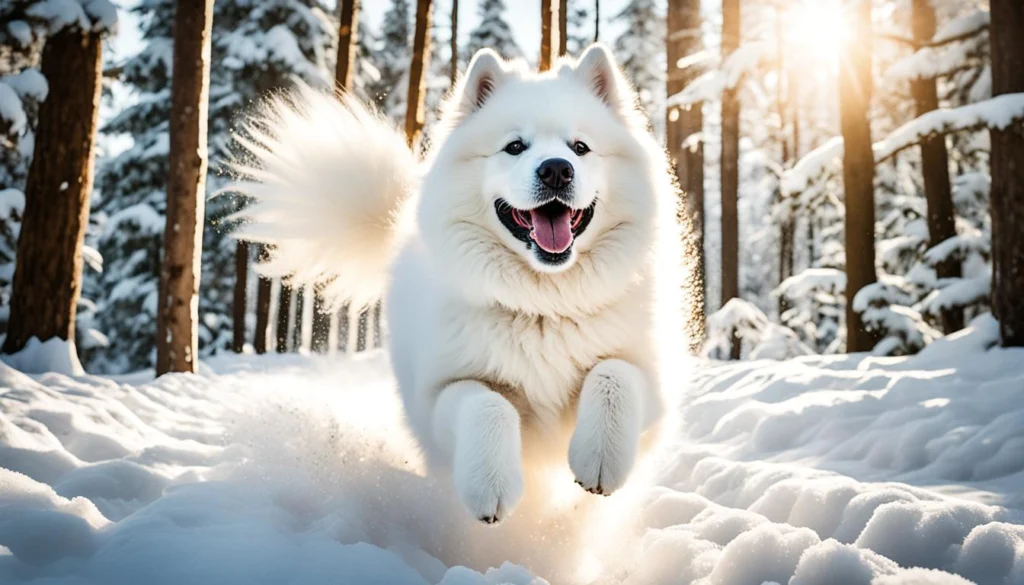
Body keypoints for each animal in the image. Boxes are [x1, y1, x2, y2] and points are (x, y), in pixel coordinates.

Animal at [228, 43, 684, 524]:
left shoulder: (653, 380)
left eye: (580, 147)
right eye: (514, 147)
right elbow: (487, 404)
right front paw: (491, 487)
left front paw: (600, 458)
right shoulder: (442, 391)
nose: (557, 170)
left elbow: (613, 373)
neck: (543, 303)